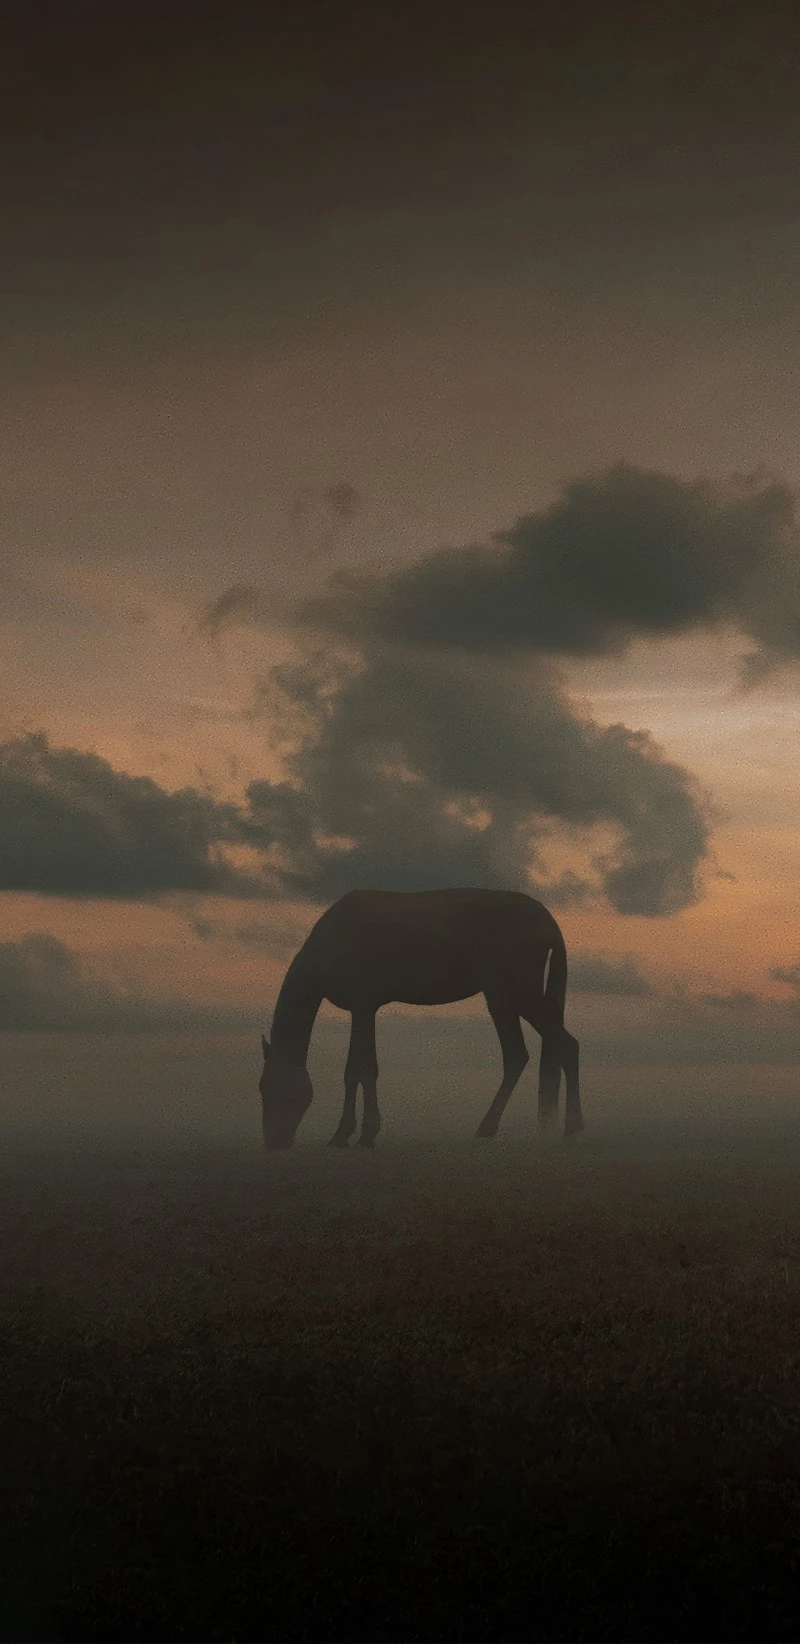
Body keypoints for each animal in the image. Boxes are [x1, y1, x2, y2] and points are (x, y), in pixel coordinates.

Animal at [259, 887, 582, 1149]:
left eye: (267, 1087)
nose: (273, 1142)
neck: (332, 940)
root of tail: (546, 919)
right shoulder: (363, 1010)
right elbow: (357, 1071)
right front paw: (350, 1135)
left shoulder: (362, 1007)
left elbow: (362, 1071)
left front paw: (359, 1135)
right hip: (500, 999)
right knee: (517, 1056)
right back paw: (488, 1128)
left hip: (518, 994)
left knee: (566, 1046)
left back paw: (573, 1125)